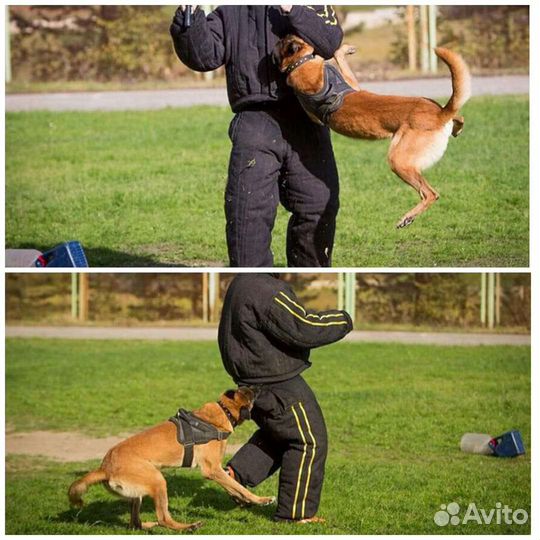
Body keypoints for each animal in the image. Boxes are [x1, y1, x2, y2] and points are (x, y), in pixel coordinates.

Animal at [67, 388, 274, 532]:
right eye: (250, 391)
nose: (261, 386)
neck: (221, 412)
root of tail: (105, 467)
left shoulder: (217, 471)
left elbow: (233, 486)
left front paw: (242, 500)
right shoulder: (212, 470)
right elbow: (240, 487)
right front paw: (261, 500)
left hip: (139, 492)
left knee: (135, 523)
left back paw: (149, 526)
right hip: (158, 481)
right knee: (163, 518)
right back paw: (188, 527)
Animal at [272, 33, 470, 228]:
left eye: (281, 41)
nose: (277, 39)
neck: (302, 61)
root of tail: (439, 114)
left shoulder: (313, 113)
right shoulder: (353, 85)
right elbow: (340, 58)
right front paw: (345, 50)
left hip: (398, 161)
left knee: (430, 194)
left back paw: (407, 217)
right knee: (459, 116)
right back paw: (456, 128)